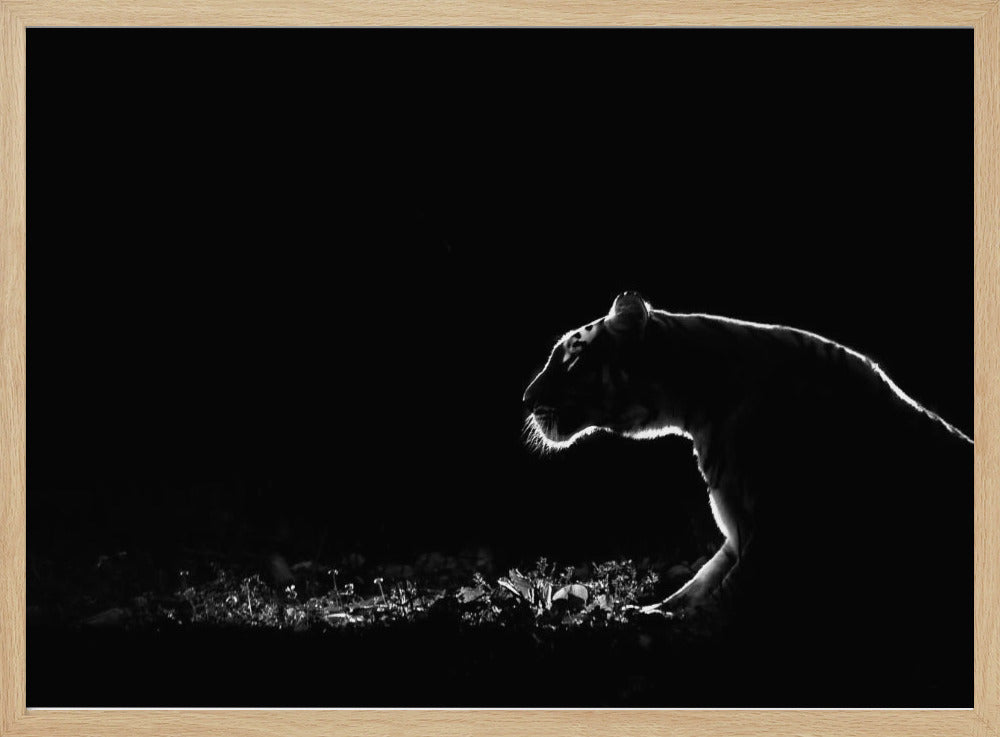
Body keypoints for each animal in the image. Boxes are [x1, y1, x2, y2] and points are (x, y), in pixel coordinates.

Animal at [523, 292, 972, 691]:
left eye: (572, 360)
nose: (526, 400)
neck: (696, 408)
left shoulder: (776, 531)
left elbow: (725, 597)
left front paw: (667, 633)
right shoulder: (739, 533)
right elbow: (699, 583)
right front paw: (646, 611)